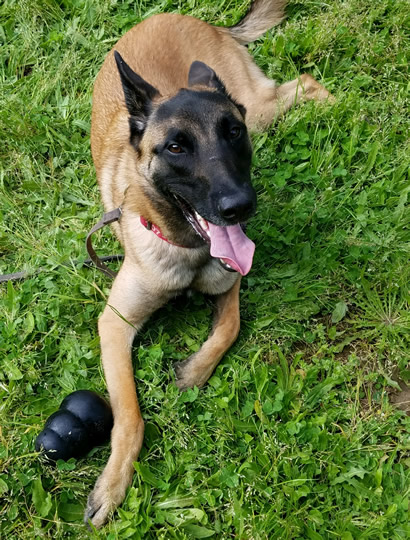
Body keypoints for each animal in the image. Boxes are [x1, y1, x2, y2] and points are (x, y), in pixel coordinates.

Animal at [85, 0, 332, 528]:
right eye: (176, 147)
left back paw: (333, 104)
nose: (239, 207)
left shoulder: (229, 284)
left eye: (230, 134)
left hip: (258, 109)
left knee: (304, 82)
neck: (187, 248)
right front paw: (113, 484)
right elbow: (129, 413)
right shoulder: (115, 324)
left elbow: (229, 328)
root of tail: (185, 17)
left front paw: (194, 372)